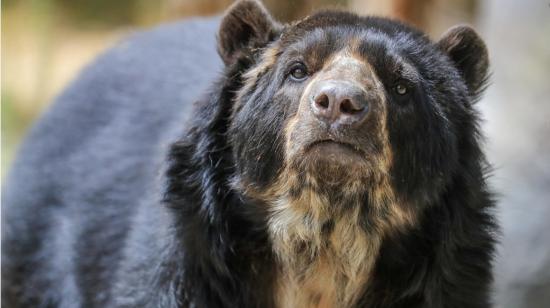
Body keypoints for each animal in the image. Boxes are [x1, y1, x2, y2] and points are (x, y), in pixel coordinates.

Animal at [1, 0, 500, 308]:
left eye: (400, 87)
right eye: (297, 71)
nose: (340, 103)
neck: (324, 236)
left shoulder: (448, 272)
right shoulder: (189, 265)